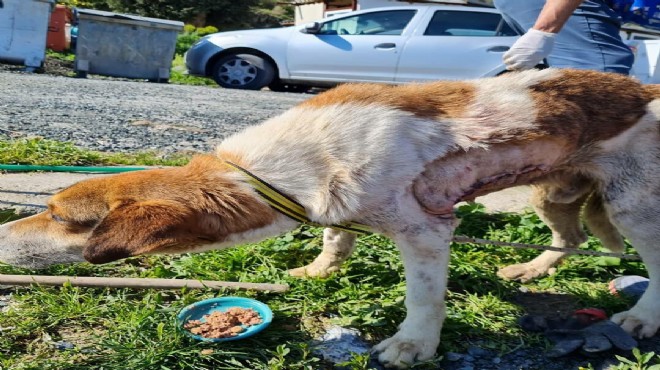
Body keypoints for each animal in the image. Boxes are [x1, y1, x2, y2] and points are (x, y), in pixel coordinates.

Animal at [1, 69, 660, 368]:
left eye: (58, 215)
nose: (0, 235)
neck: (269, 173)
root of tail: (646, 90)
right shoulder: (339, 205)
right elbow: (336, 238)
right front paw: (321, 269)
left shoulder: (426, 231)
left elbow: (423, 299)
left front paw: (412, 345)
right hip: (555, 193)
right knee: (569, 237)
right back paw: (529, 270)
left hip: (632, 204)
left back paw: (643, 317)